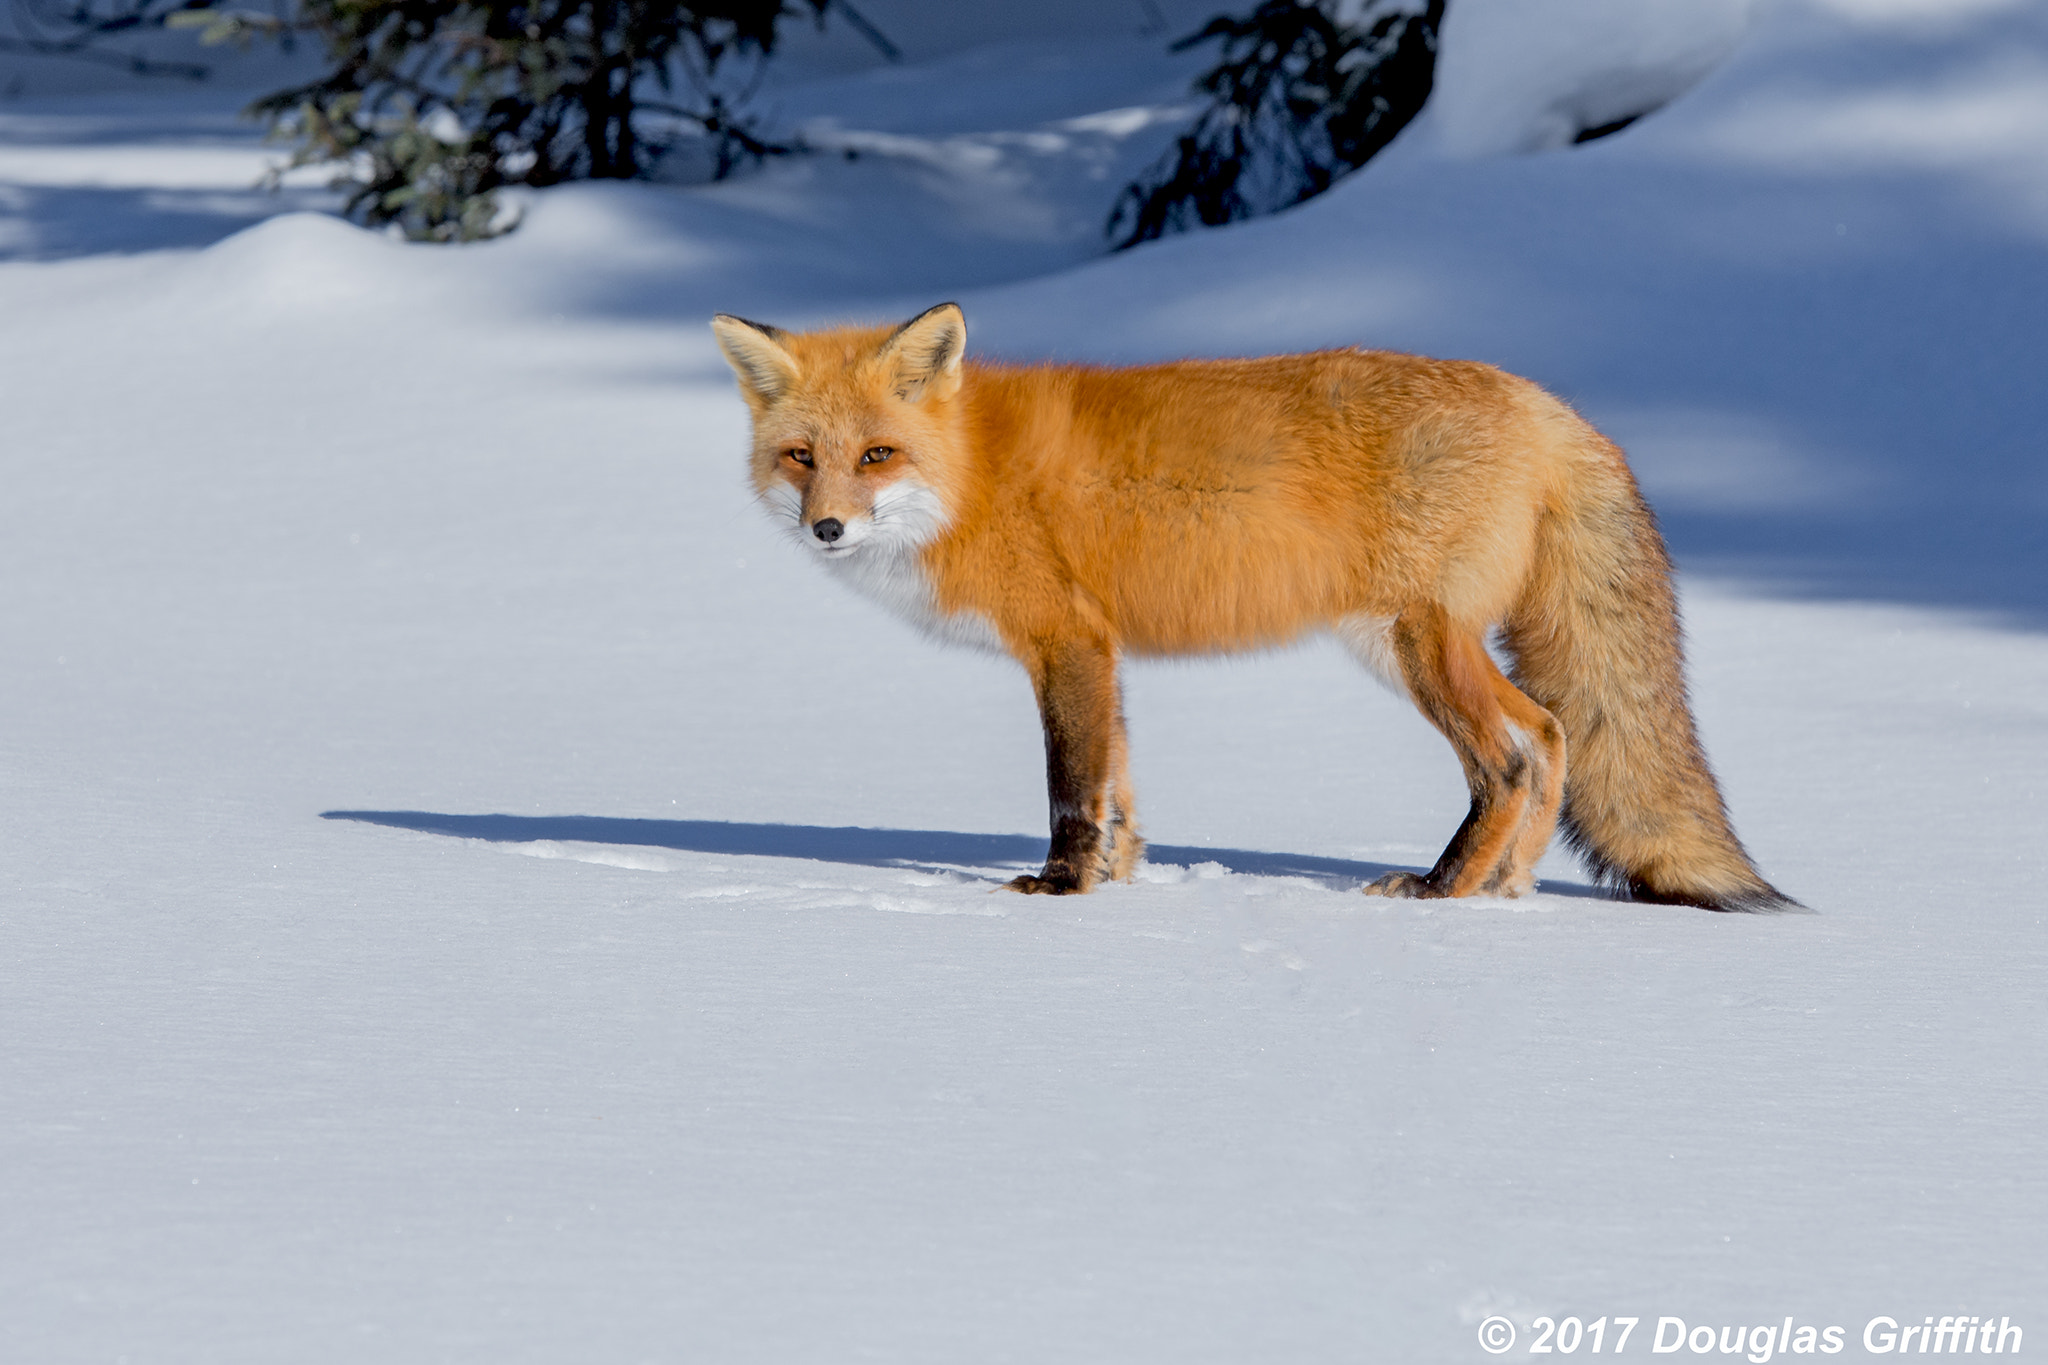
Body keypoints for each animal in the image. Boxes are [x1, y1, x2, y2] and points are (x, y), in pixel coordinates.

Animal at [710, 302, 1797, 912]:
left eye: (876, 455)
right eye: (801, 457)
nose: (827, 528)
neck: (973, 475)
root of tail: (1547, 404)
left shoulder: (1066, 643)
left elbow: (1073, 789)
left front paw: (1059, 892)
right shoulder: (1101, 654)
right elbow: (1121, 794)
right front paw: (1119, 884)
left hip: (1416, 642)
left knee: (1515, 755)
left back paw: (1443, 892)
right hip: (1409, 644)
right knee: (1556, 733)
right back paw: (1506, 892)